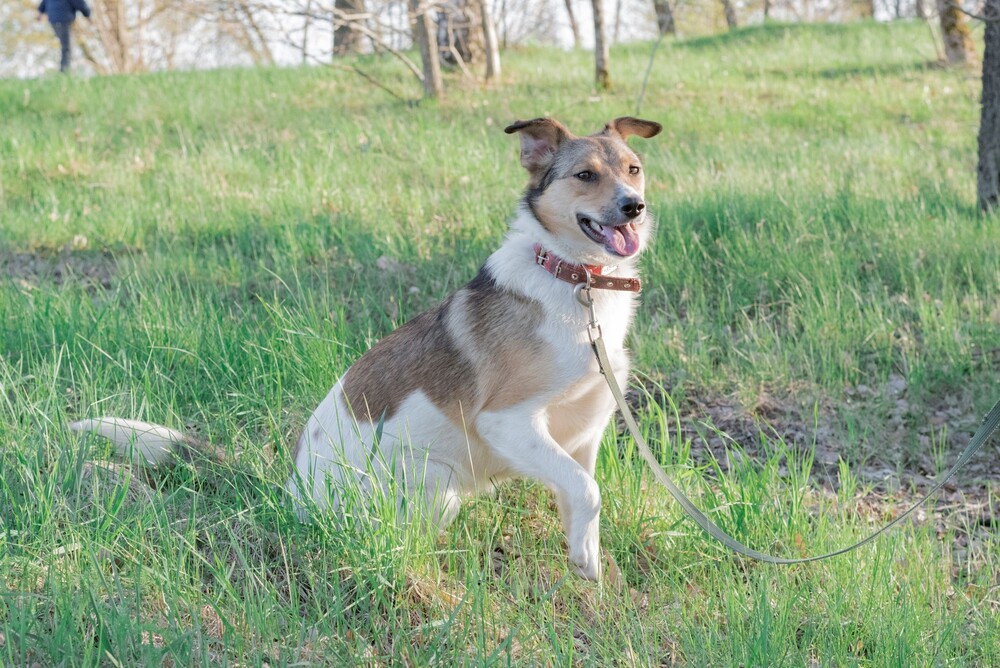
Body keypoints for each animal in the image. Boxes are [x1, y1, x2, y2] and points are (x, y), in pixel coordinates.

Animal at [70, 116, 664, 580]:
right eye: (585, 175)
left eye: (633, 168)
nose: (634, 207)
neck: (578, 282)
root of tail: (289, 492)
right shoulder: (508, 421)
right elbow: (588, 490)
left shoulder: (582, 434)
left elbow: (580, 496)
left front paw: (588, 567)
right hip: (437, 482)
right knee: (401, 539)